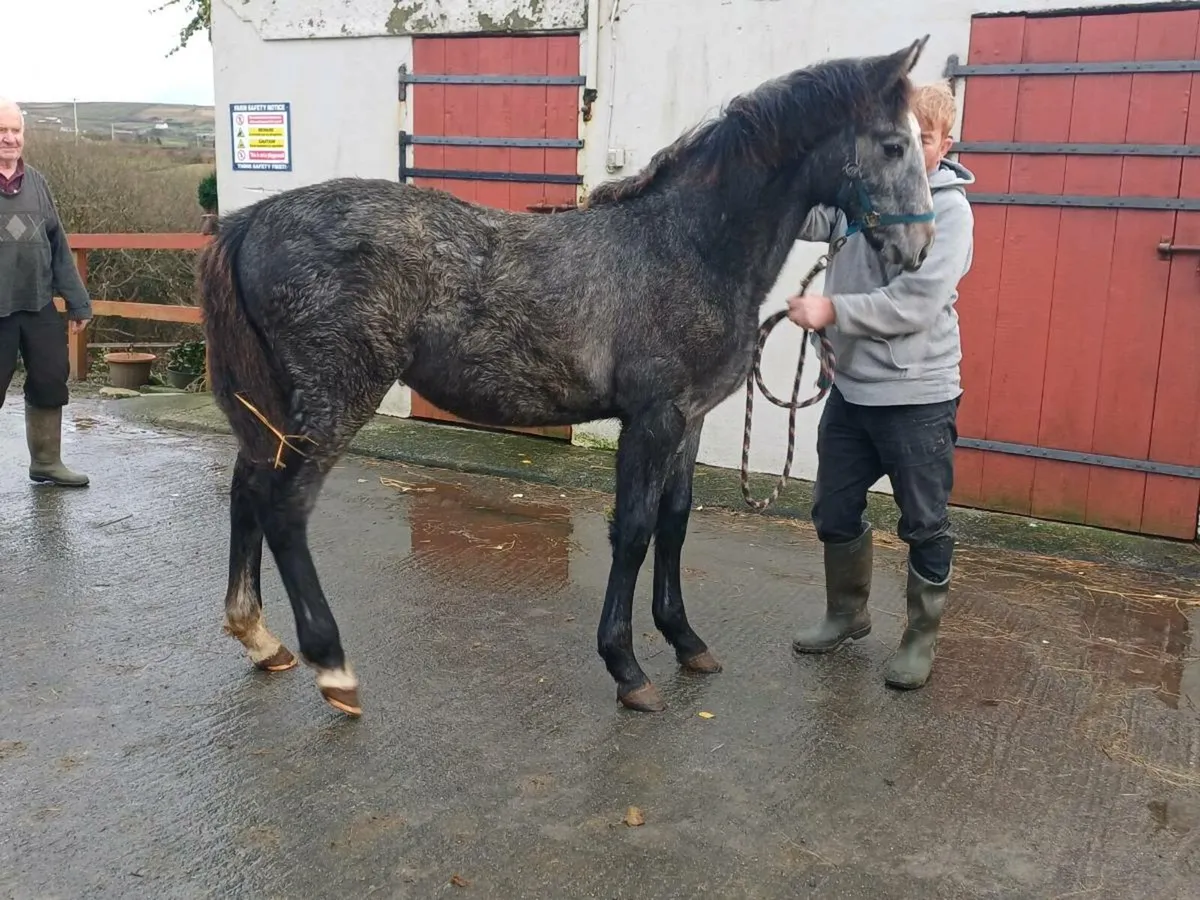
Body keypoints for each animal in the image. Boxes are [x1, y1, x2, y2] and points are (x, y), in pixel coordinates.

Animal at [198, 36, 937, 718]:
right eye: (894, 144)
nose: (919, 249)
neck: (688, 246)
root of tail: (251, 220)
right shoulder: (653, 419)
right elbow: (633, 530)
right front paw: (627, 668)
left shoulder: (689, 418)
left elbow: (674, 521)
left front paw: (686, 642)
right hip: (338, 396)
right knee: (285, 508)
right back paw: (332, 667)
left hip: (280, 403)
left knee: (248, 489)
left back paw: (261, 639)